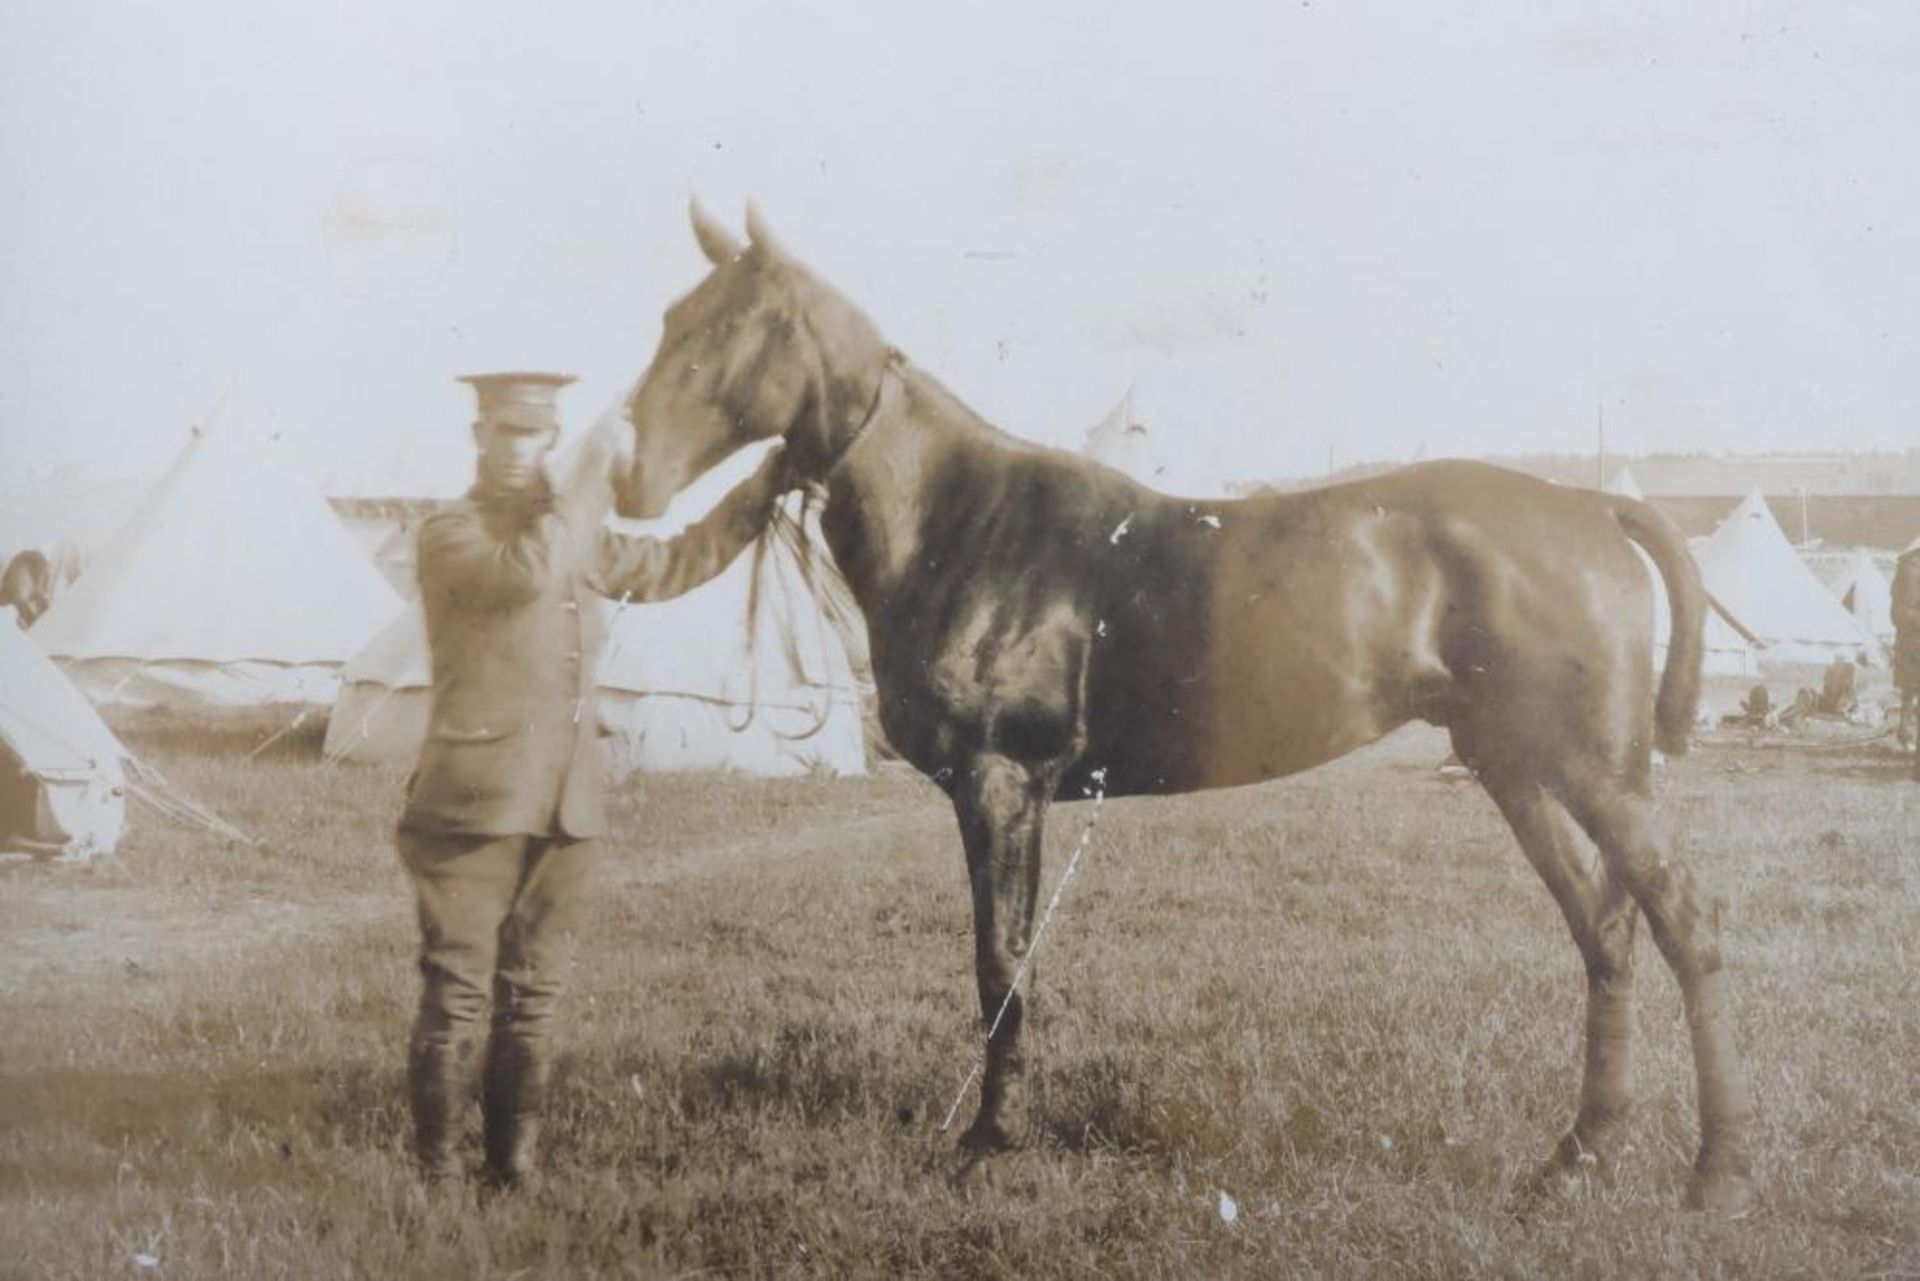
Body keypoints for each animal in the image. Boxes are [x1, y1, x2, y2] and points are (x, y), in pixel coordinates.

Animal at [610, 200, 1758, 1213]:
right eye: (667, 318)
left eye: (731, 326)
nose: (628, 476)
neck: (964, 521)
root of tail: (1592, 506)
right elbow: (1009, 959)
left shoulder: (1001, 780)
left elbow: (1000, 965)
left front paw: (985, 1144)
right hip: (1515, 766)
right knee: (1605, 932)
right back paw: (1577, 1157)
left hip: (1595, 770)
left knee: (1684, 923)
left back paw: (1714, 1175)